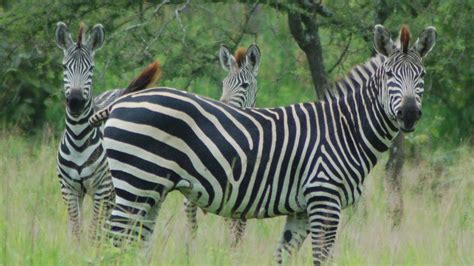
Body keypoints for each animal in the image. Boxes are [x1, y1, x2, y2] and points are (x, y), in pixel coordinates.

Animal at [54, 21, 161, 240]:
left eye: (91, 68)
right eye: (64, 67)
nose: (75, 102)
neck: (78, 139)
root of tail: (121, 92)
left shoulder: (101, 189)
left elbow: (94, 231)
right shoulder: (69, 189)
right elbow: (76, 231)